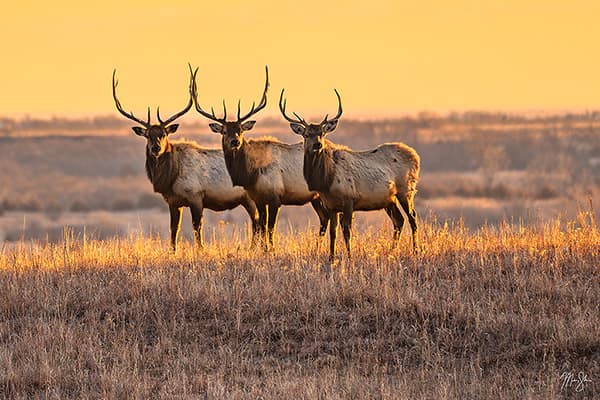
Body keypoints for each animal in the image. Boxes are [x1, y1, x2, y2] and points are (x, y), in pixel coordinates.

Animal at [112, 67, 258, 252]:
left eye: (164, 134)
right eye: (147, 135)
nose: (156, 148)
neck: (170, 177)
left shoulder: (195, 195)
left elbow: (197, 226)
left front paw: (200, 250)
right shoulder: (173, 201)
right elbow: (174, 228)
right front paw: (172, 251)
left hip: (250, 196)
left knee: (257, 219)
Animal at [190, 68, 328, 250]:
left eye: (241, 130)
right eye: (224, 131)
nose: (235, 141)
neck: (252, 174)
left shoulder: (276, 197)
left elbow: (270, 227)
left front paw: (271, 250)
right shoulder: (259, 199)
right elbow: (262, 226)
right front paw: (264, 249)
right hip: (316, 197)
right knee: (325, 217)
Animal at [278, 89, 420, 260]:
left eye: (322, 133)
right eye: (306, 134)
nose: (318, 144)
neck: (326, 182)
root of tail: (415, 155)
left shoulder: (349, 199)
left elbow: (347, 231)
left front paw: (350, 256)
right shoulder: (331, 205)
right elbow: (333, 232)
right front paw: (331, 257)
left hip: (406, 190)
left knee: (413, 218)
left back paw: (416, 251)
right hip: (389, 199)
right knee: (399, 220)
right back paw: (392, 251)